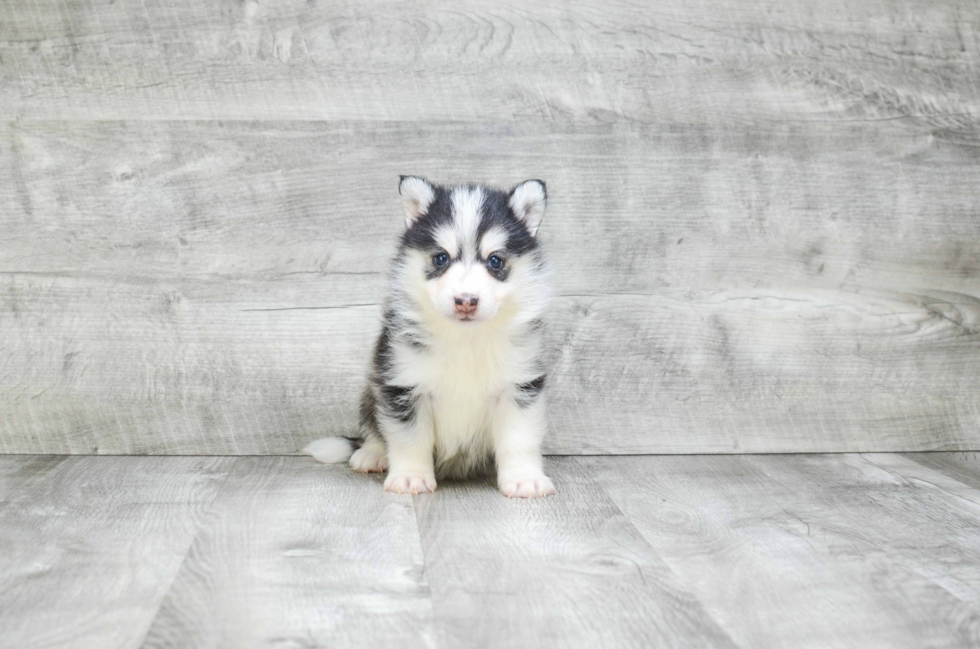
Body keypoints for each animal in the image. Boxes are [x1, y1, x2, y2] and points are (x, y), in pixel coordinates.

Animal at [302, 175, 556, 498]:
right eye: (440, 258)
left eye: (495, 261)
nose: (466, 301)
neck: (465, 339)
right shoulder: (404, 385)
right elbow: (410, 439)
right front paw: (411, 477)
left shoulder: (519, 387)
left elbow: (519, 438)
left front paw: (524, 479)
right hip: (373, 388)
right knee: (373, 427)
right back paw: (371, 453)